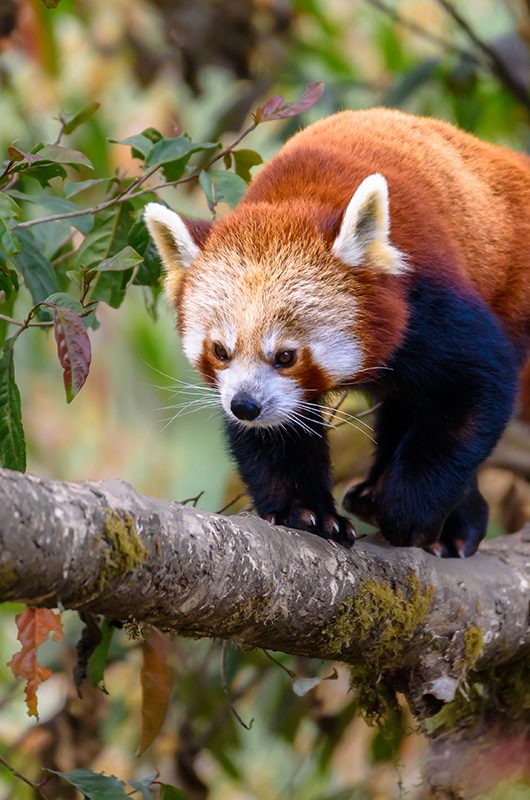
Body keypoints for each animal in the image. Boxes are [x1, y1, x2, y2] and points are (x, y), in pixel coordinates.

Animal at [144, 108, 528, 556]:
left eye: (286, 356)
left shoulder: (426, 305)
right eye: (221, 351)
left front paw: (409, 511)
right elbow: (278, 438)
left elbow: (475, 388)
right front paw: (307, 512)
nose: (245, 406)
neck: (297, 193)